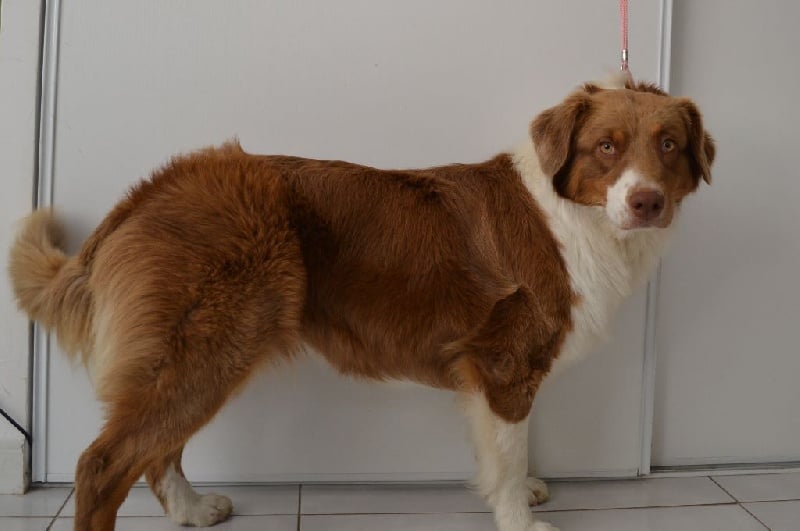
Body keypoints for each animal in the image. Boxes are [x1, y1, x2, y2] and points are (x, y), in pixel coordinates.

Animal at [9, 73, 714, 531]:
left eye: (669, 145)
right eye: (606, 147)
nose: (647, 202)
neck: (573, 216)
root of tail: (152, 188)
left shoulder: (497, 373)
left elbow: (507, 447)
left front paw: (522, 488)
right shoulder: (504, 361)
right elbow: (510, 449)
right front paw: (519, 518)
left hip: (203, 347)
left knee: (158, 451)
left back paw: (194, 510)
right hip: (213, 342)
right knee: (103, 464)